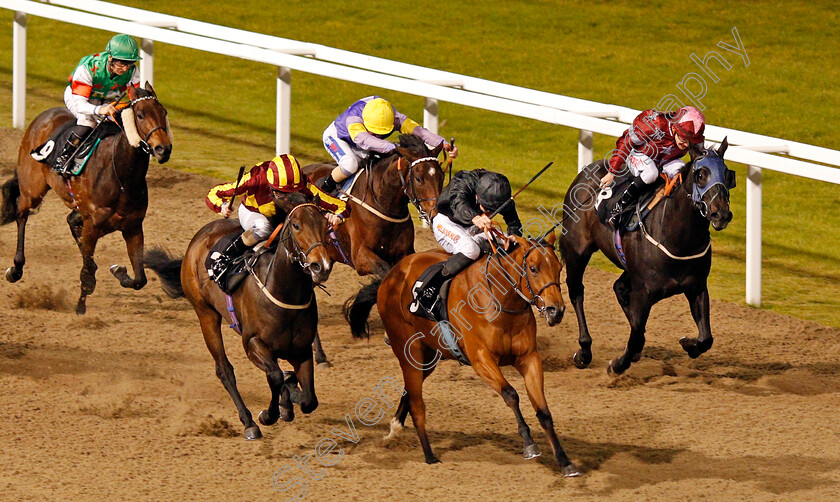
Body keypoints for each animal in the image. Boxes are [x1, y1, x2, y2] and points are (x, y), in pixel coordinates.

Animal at [0, 84, 172, 316]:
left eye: (164, 113)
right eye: (140, 115)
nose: (163, 149)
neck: (122, 176)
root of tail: (44, 116)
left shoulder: (133, 227)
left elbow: (139, 279)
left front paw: (119, 271)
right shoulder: (93, 224)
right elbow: (86, 272)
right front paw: (80, 305)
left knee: (71, 222)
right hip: (32, 189)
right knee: (22, 215)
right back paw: (16, 268)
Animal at [146, 196, 336, 440]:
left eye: (325, 225)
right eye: (296, 226)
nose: (321, 266)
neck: (284, 293)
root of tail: (199, 236)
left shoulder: (301, 350)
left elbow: (308, 399)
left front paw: (288, 399)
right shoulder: (253, 343)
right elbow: (275, 376)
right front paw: (268, 414)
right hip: (205, 313)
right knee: (225, 370)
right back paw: (249, 422)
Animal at [344, 231, 580, 474]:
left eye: (559, 267)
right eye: (533, 268)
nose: (556, 310)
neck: (499, 299)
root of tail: (390, 276)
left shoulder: (529, 358)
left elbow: (544, 411)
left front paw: (564, 461)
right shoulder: (481, 360)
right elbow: (511, 394)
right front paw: (529, 444)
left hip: (429, 357)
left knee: (410, 390)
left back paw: (396, 427)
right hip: (409, 352)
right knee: (417, 403)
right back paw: (429, 455)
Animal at [564, 139, 736, 374]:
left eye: (728, 175)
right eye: (701, 174)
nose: (721, 214)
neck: (678, 240)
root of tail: (586, 171)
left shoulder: (697, 286)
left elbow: (706, 338)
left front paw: (687, 344)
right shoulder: (643, 292)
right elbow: (636, 335)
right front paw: (617, 364)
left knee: (619, 288)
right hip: (576, 251)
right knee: (576, 291)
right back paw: (584, 351)